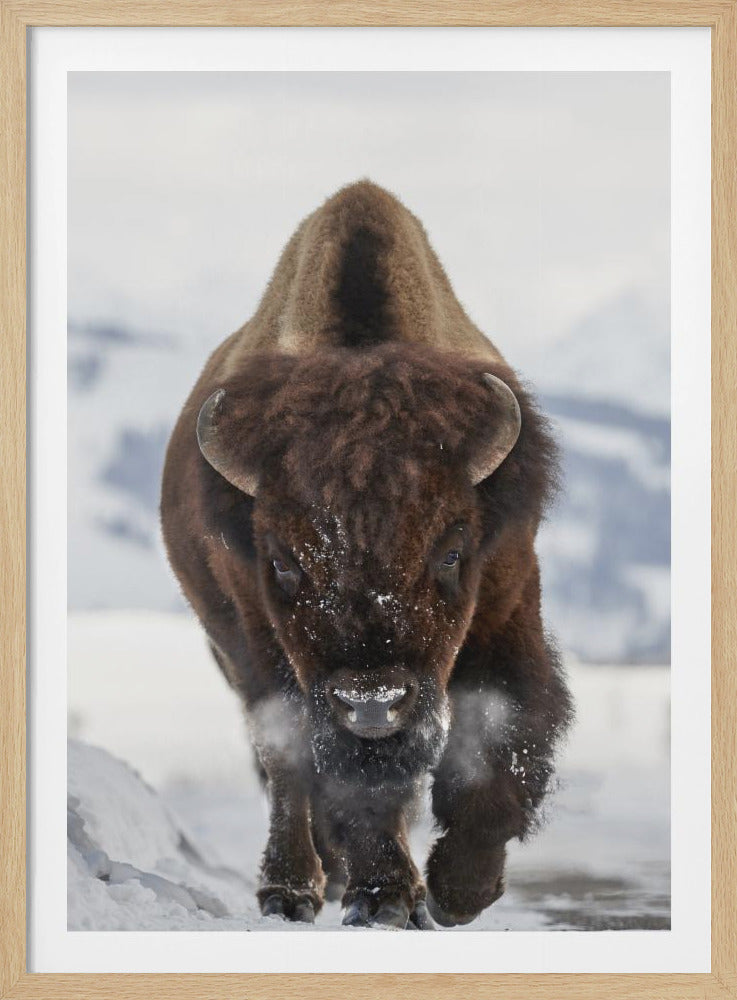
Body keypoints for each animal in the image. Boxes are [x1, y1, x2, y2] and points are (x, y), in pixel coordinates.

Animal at [161, 181, 572, 929]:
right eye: (283, 561)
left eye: (452, 551)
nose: (373, 704)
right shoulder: (269, 646)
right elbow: (335, 777)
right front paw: (384, 896)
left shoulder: (506, 604)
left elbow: (504, 733)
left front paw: (457, 891)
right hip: (238, 653)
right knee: (287, 769)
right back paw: (294, 890)